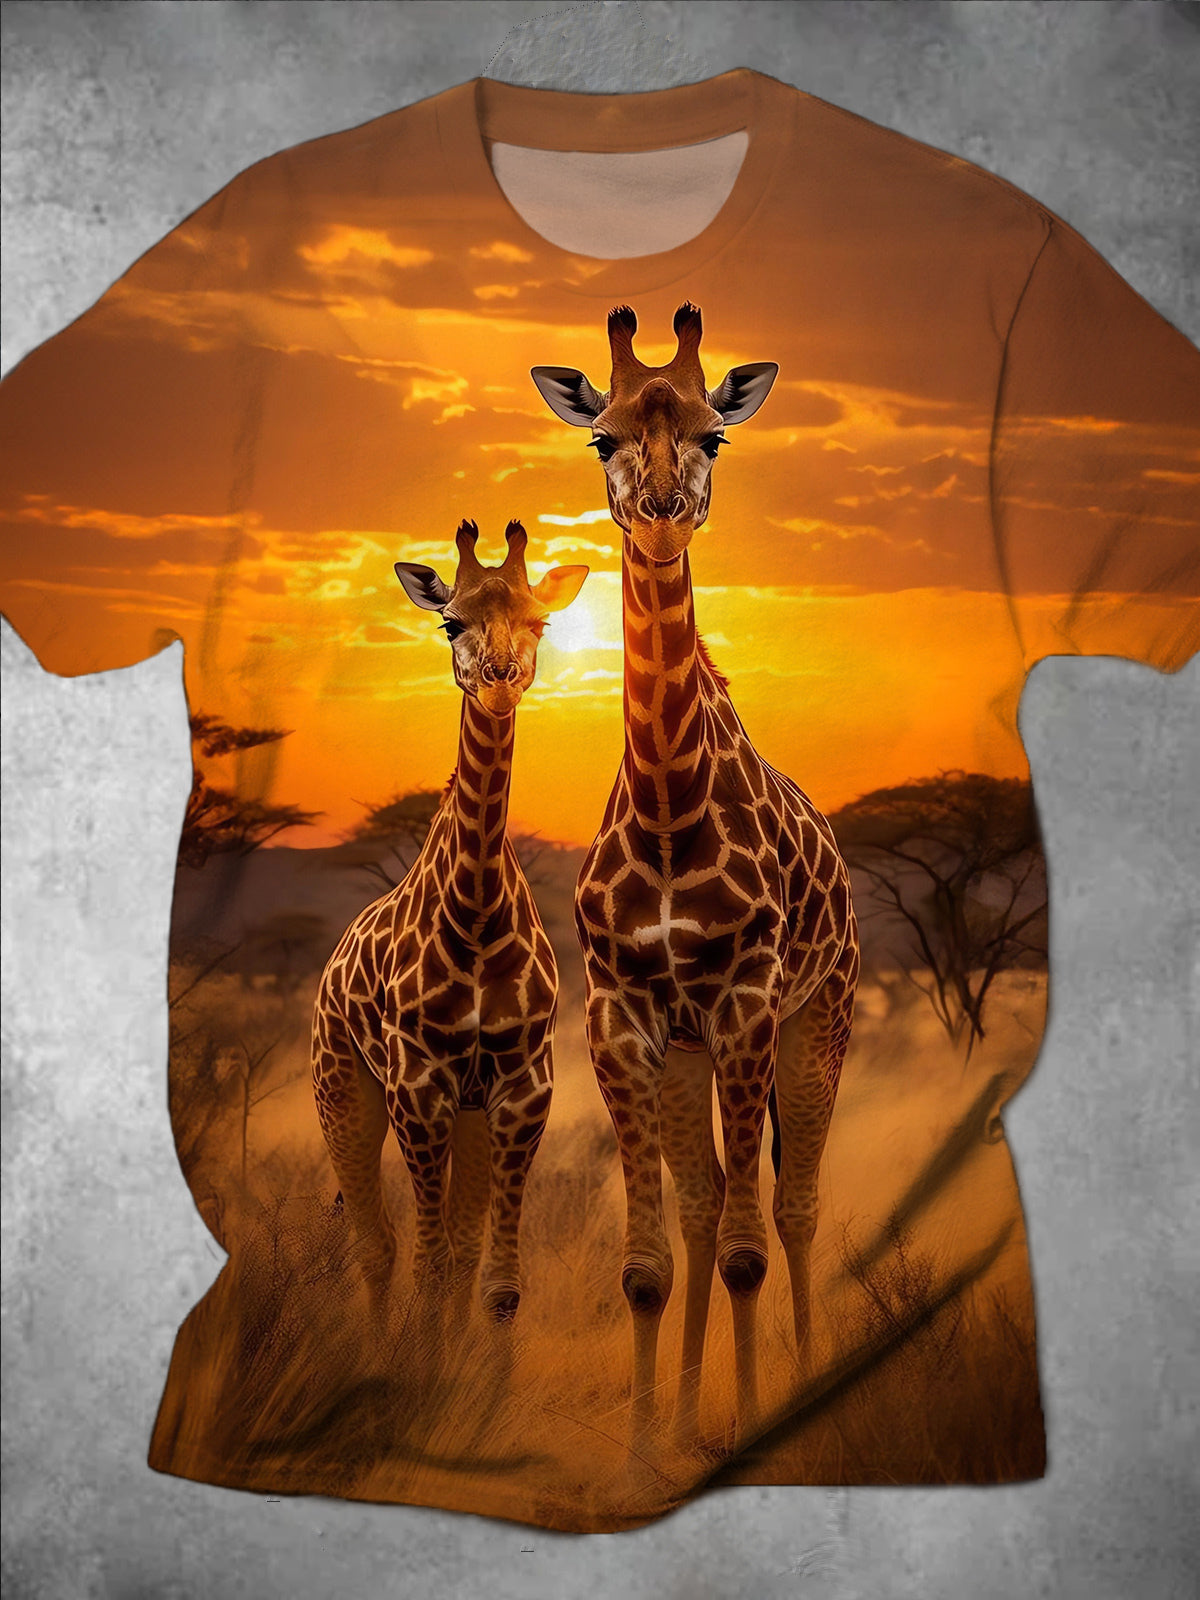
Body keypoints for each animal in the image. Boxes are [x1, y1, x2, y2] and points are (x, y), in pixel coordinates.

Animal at [311, 518, 588, 1326]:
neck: (476, 913)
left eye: (540, 621)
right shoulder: (418, 1087)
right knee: (375, 1246)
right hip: (341, 1088)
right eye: (450, 622)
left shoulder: (521, 1087)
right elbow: (429, 1266)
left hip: (465, 1111)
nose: (498, 678)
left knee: (451, 1254)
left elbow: (495, 1283)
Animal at [531, 304, 859, 1447]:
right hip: (685, 1050)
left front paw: (756, 1421)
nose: (663, 512)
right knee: (713, 1198)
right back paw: (679, 1414)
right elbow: (648, 1264)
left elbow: (752, 1250)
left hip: (823, 1018)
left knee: (793, 1204)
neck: (670, 814)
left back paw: (799, 1375)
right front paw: (642, 1451)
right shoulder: (621, 1018)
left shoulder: (749, 1005)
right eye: (603, 437)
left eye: (716, 436)